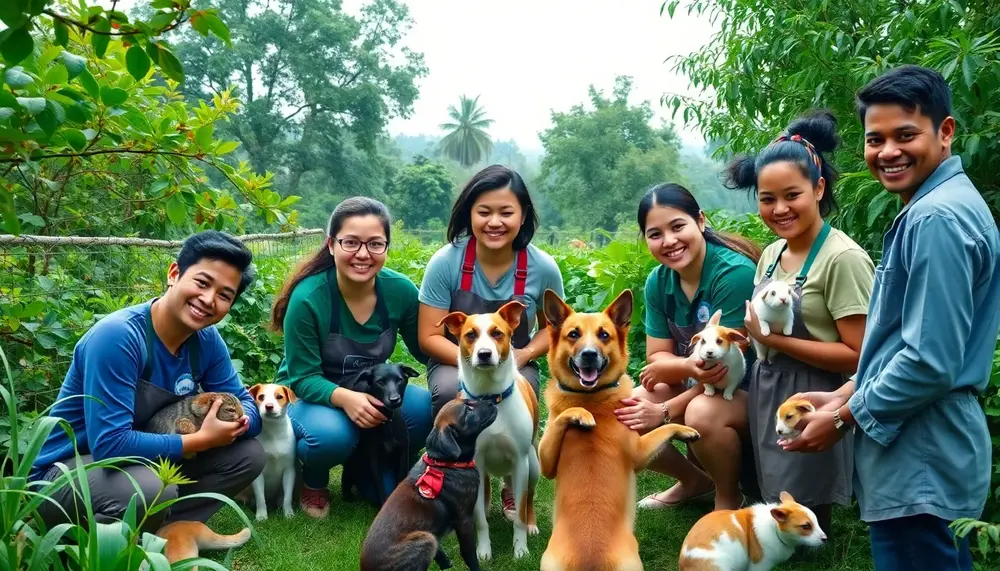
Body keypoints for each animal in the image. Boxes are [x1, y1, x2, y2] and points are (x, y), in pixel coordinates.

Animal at [340, 362, 418, 504]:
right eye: (380, 382)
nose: (394, 399)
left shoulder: (403, 452)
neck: (387, 422)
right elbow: (379, 485)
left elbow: (400, 477)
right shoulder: (374, 459)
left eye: (399, 380)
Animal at [362, 398, 498, 571]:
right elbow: (469, 554)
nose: (492, 402)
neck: (445, 463)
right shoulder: (464, 520)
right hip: (426, 540)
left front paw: (445, 562)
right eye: (468, 410)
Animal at [436, 302, 540, 560]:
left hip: (533, 466)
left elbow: (520, 514)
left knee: (529, 498)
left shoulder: (520, 462)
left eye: (497, 333)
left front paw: (520, 548)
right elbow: (480, 521)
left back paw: (532, 524)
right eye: (470, 335)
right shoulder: (478, 463)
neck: (490, 398)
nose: (484, 354)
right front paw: (483, 549)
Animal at [540, 290, 704, 571]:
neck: (591, 398)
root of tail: (590, 561)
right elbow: (665, 428)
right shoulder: (637, 452)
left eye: (604, 334)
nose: (589, 354)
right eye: (573, 334)